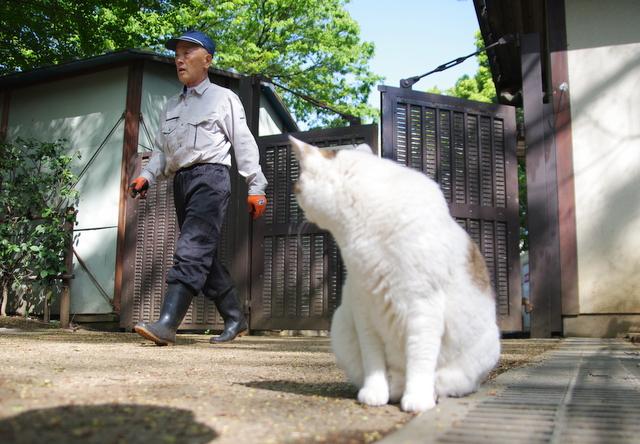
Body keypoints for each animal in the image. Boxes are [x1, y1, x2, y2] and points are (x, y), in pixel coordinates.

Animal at [288, 135, 500, 412]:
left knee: (446, 380)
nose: (296, 201)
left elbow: (420, 357)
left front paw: (418, 398)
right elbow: (373, 360)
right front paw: (375, 393)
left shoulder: (423, 308)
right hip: (341, 324)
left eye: (296, 188)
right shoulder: (364, 309)